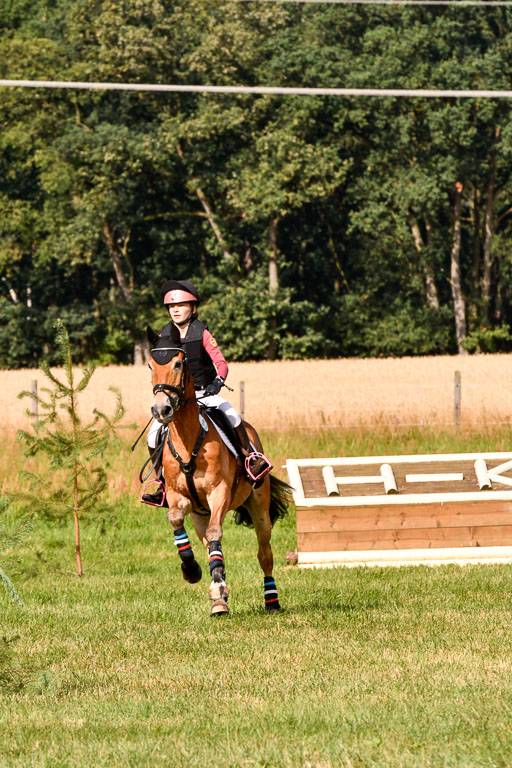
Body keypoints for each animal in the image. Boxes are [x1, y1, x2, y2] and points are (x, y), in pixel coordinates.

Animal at [145, 328, 288, 616]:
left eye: (178, 364)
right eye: (151, 366)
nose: (161, 410)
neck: (188, 442)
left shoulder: (219, 492)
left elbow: (216, 535)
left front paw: (216, 587)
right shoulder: (178, 497)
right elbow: (177, 521)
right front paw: (191, 570)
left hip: (259, 506)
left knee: (264, 552)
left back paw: (270, 600)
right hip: (200, 514)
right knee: (210, 546)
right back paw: (219, 596)